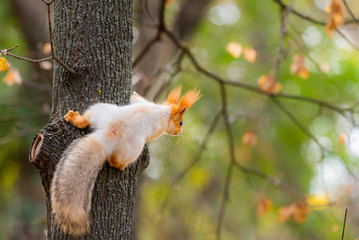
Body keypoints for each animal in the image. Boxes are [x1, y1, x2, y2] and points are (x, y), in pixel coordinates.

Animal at [49, 86, 201, 234]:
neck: (165, 112)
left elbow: (138, 99)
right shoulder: (157, 127)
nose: (180, 133)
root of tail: (111, 133)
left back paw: (76, 119)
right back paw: (120, 165)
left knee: (87, 120)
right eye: (180, 123)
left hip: (102, 110)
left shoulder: (145, 103)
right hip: (133, 148)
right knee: (114, 160)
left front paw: (134, 93)